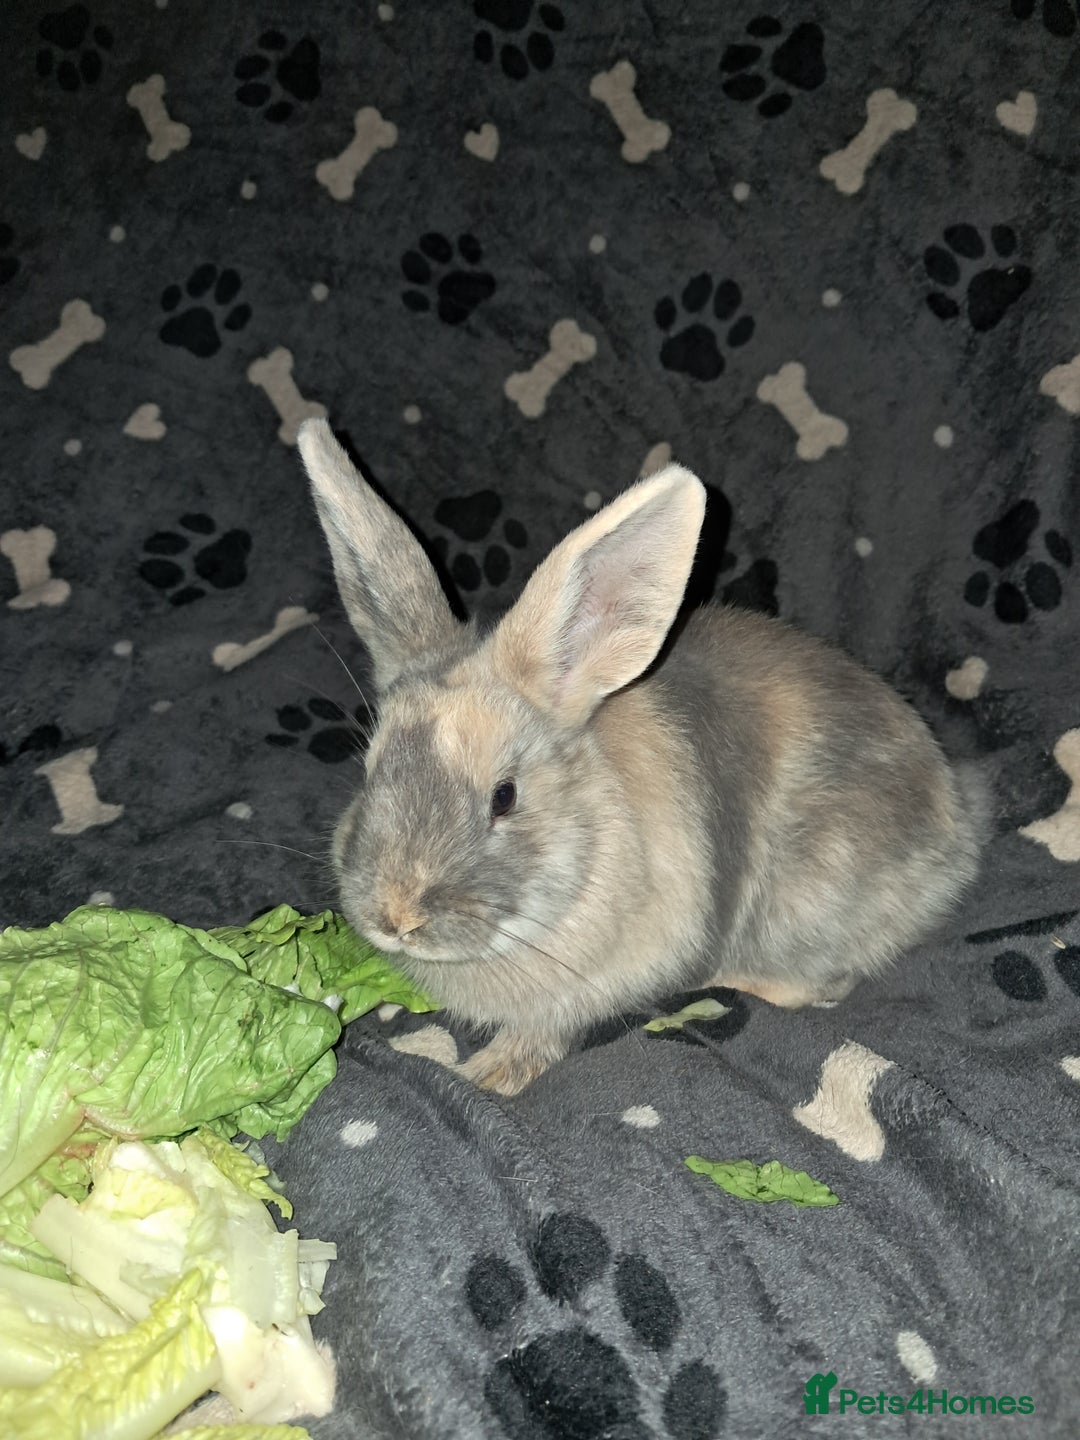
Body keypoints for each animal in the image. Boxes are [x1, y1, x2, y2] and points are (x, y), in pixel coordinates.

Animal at [297, 419, 986, 1096]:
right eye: (369, 770)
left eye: (505, 796)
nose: (395, 916)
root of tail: (956, 817)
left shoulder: (584, 989)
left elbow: (540, 1036)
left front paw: (484, 1074)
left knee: (824, 982)